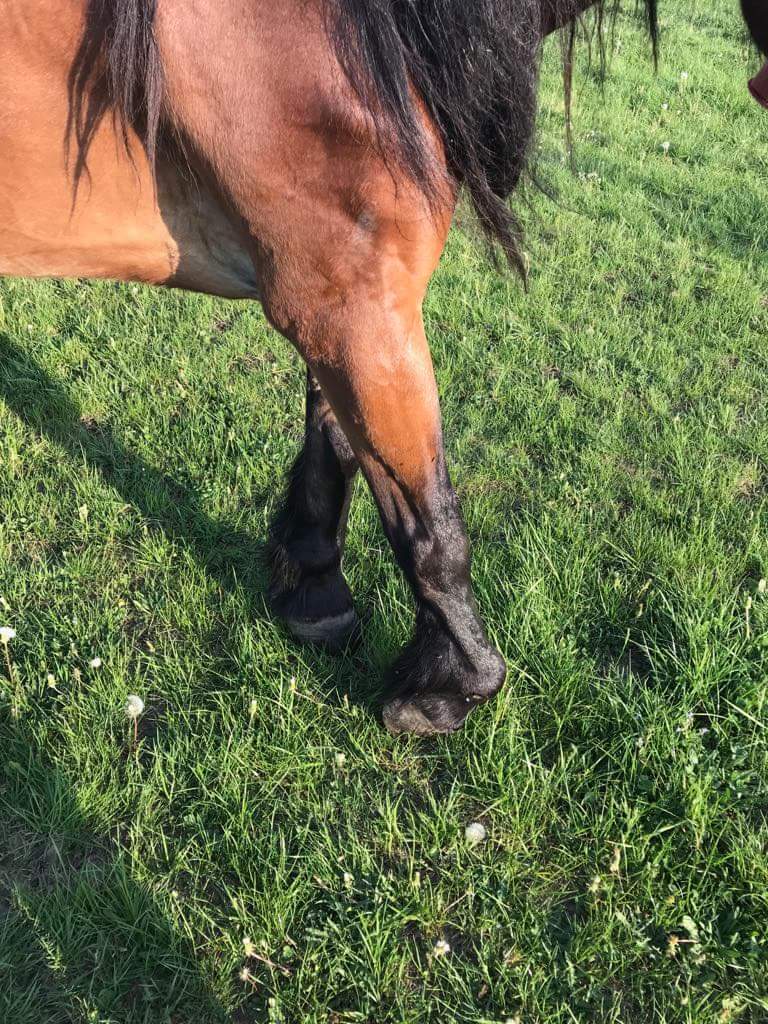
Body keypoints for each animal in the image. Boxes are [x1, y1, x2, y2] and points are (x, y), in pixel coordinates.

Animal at [1, 0, 665, 736]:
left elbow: (338, 446)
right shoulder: (350, 308)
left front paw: (316, 596)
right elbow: (428, 517)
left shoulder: (346, 305)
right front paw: (451, 685)